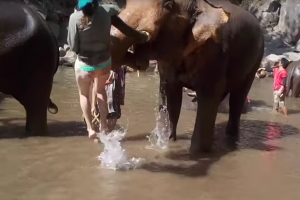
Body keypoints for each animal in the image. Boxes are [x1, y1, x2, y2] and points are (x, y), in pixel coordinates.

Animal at [109, 0, 262, 153]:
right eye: (126, 3)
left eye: (169, 5)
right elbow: (171, 96)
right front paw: (168, 143)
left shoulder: (215, 53)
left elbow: (209, 97)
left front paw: (196, 153)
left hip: (255, 61)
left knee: (238, 99)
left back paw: (231, 138)